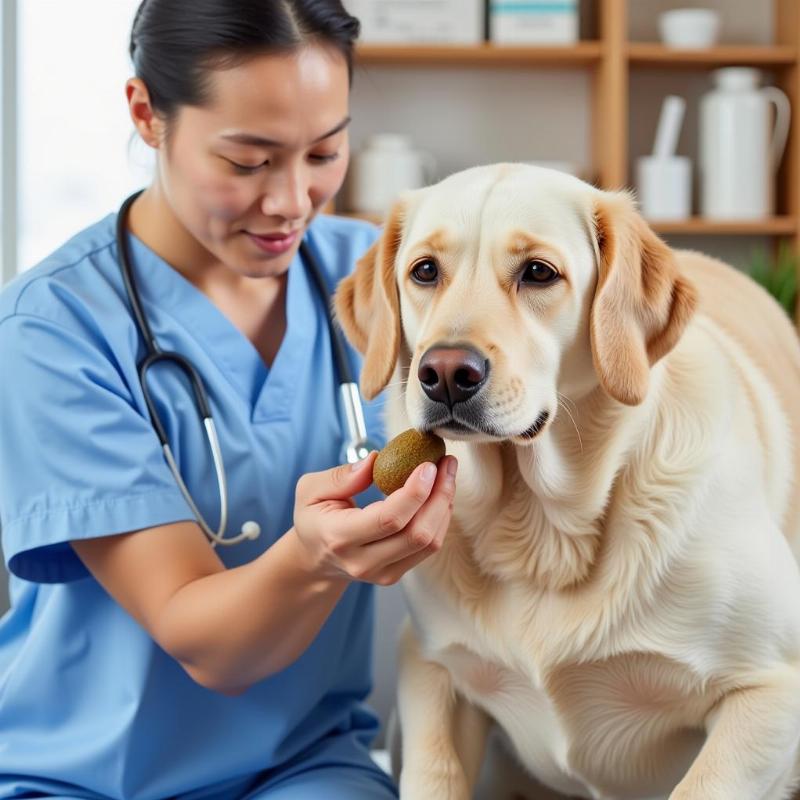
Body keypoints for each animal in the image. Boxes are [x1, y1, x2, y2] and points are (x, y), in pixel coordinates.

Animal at [334, 164, 800, 800]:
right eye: (424, 271)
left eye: (538, 272)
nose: (445, 374)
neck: (540, 531)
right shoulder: (430, 668)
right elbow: (436, 773)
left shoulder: (772, 689)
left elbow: (702, 785)